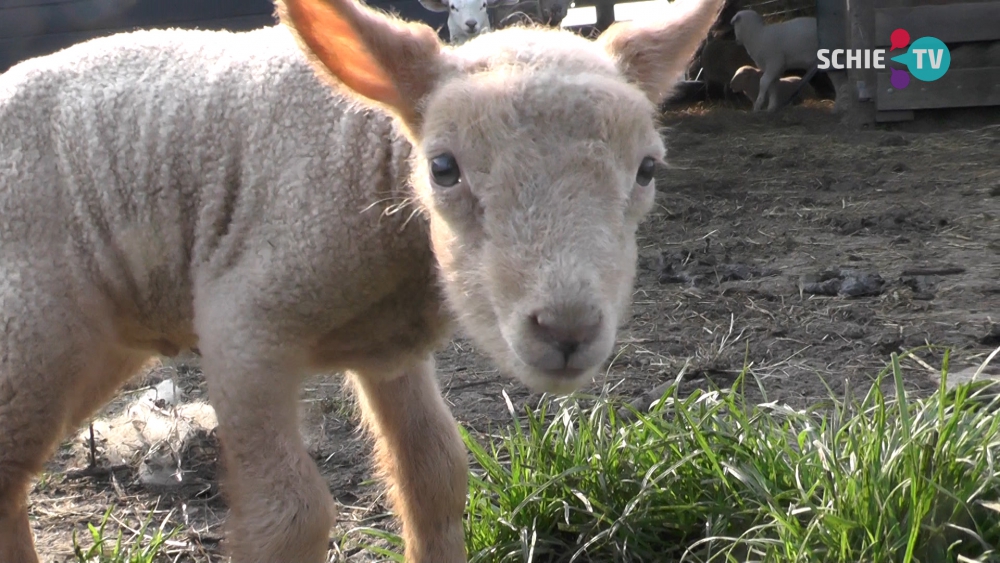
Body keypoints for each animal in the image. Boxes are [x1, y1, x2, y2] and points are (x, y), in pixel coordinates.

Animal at [0, 0, 724, 560]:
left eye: (648, 169)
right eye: (442, 167)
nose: (567, 329)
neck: (366, 159)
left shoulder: (388, 349)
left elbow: (436, 478)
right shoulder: (245, 323)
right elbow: (290, 514)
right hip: (33, 325)